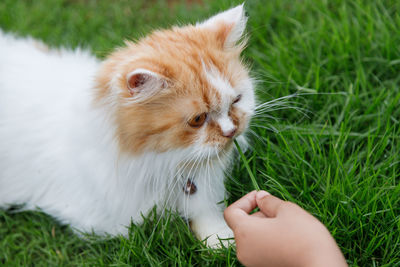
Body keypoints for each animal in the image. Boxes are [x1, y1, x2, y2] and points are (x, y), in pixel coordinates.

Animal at [0, 3, 255, 249]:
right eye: (198, 119)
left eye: (236, 101)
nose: (231, 131)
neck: (167, 163)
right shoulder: (110, 223)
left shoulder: (204, 193)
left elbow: (209, 218)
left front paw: (225, 241)